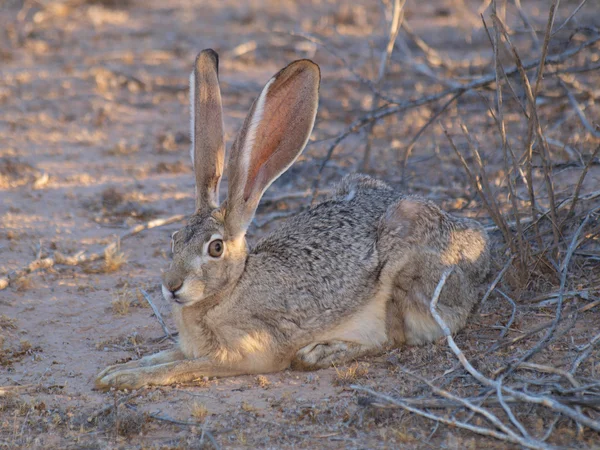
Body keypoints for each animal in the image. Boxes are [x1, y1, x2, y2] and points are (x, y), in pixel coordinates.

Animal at [94, 50, 488, 390]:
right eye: (174, 240)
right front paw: (114, 371)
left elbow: (180, 367)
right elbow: (162, 356)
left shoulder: (245, 354)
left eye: (215, 248)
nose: (171, 286)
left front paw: (123, 378)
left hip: (403, 265)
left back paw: (320, 352)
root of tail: (480, 247)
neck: (228, 292)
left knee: (393, 338)